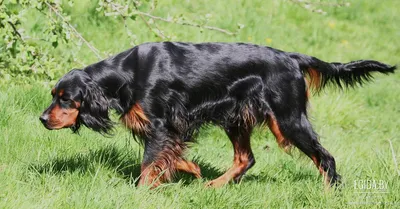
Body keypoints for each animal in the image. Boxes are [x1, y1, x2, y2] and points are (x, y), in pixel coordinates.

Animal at [39, 42, 396, 188]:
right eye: (53, 96)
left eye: (66, 99)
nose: (43, 119)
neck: (127, 73)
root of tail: (292, 58)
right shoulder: (169, 127)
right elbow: (169, 156)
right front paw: (191, 170)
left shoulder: (161, 123)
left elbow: (149, 164)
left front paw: (142, 192)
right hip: (237, 116)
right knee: (245, 158)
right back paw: (214, 185)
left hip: (288, 119)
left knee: (325, 157)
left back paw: (329, 191)